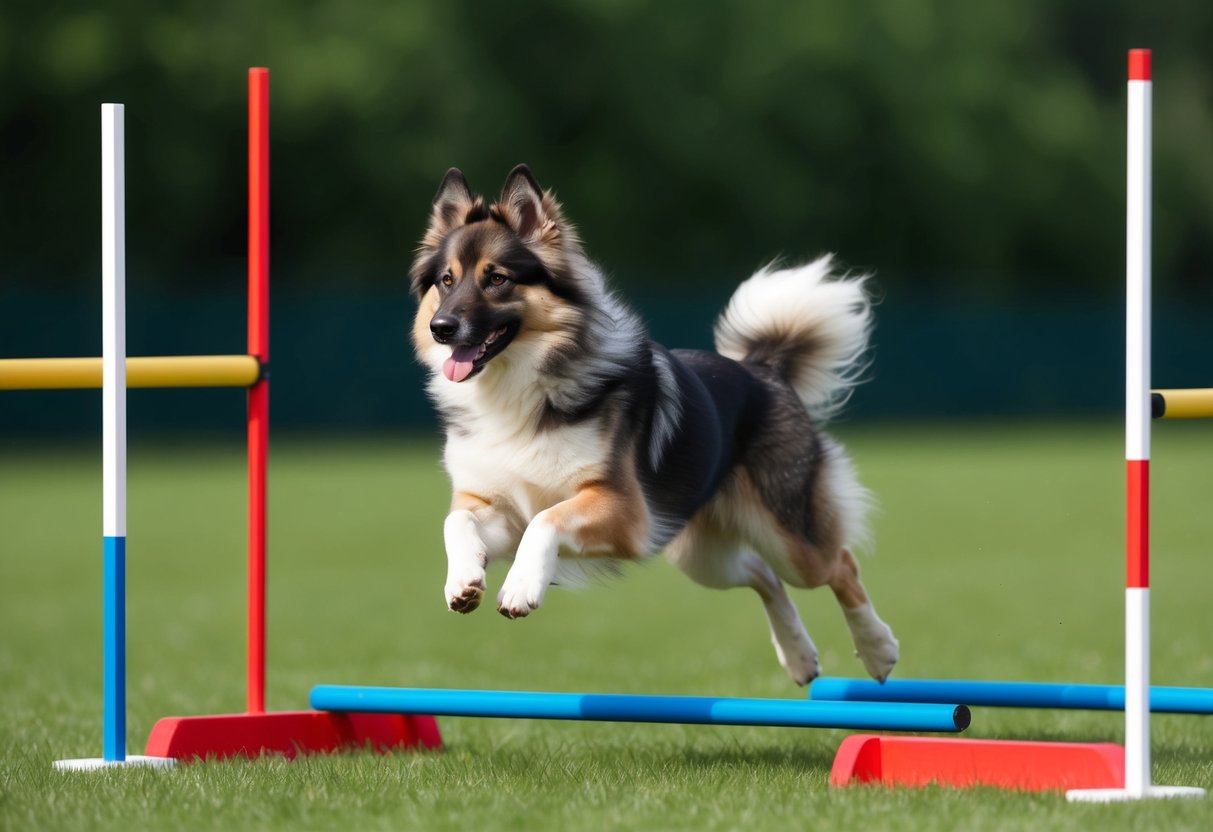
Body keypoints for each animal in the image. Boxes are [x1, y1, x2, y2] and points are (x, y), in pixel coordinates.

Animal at [412, 166, 897, 688]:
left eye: (497, 279)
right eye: (446, 281)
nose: (441, 328)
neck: (516, 387)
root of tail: (763, 368)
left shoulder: (623, 510)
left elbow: (546, 521)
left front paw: (520, 588)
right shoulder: (499, 508)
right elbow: (456, 520)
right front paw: (464, 580)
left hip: (788, 540)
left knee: (840, 566)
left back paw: (878, 650)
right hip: (700, 555)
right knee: (762, 574)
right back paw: (799, 657)